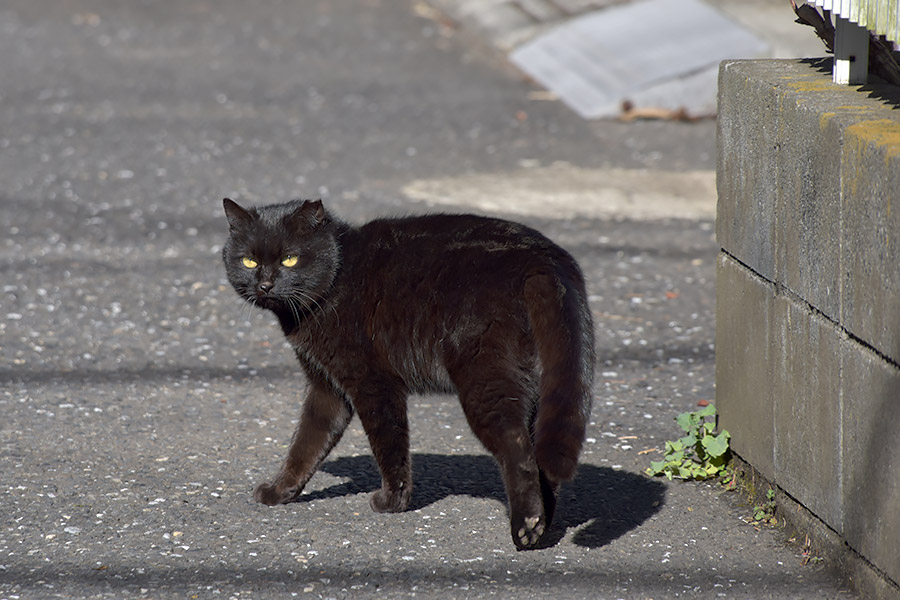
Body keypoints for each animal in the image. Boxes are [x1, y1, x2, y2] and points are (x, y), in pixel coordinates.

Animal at [221, 198, 596, 548]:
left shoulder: (373, 383)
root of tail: (544, 262)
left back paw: (526, 529)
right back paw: (543, 526)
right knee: (544, 456)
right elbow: (305, 445)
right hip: (542, 386)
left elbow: (388, 444)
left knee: (519, 450)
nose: (266, 284)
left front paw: (392, 501)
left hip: (486, 382)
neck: (337, 277)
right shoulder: (326, 388)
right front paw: (280, 491)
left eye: (290, 259)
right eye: (249, 261)